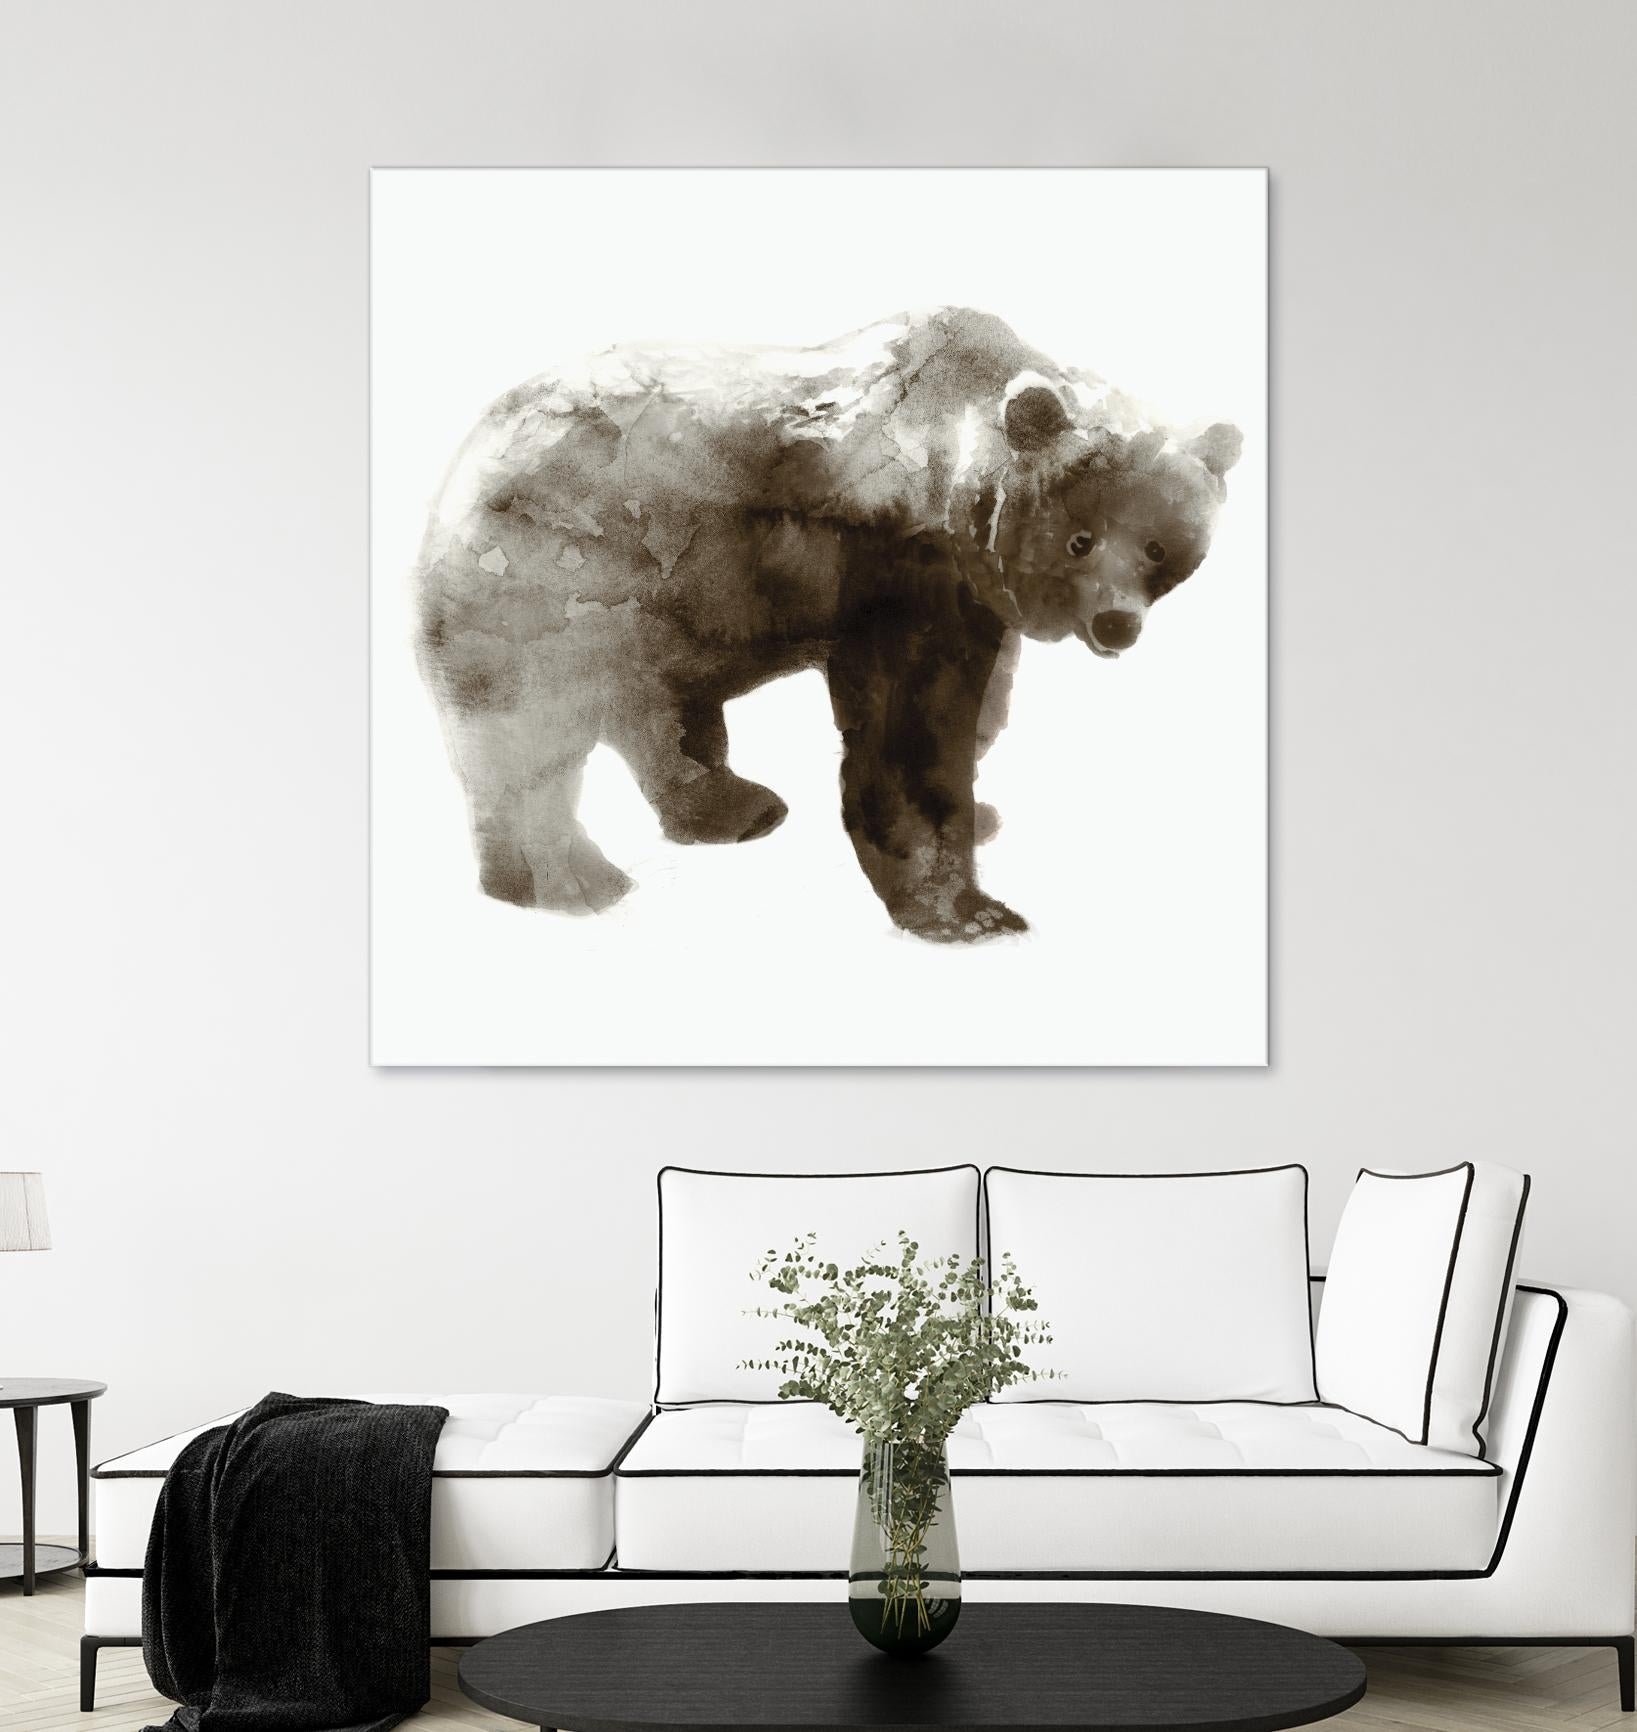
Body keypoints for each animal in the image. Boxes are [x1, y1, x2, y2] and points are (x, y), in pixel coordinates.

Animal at [413, 308, 1242, 942]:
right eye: (1081, 539)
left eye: (1160, 547)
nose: (1116, 623)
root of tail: (465, 455)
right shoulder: (896, 565)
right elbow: (910, 730)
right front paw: (972, 911)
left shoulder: (974, 593)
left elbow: (982, 706)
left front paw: (982, 814)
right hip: (559, 575)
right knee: (529, 732)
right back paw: (568, 882)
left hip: (664, 612)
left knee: (656, 711)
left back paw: (732, 807)